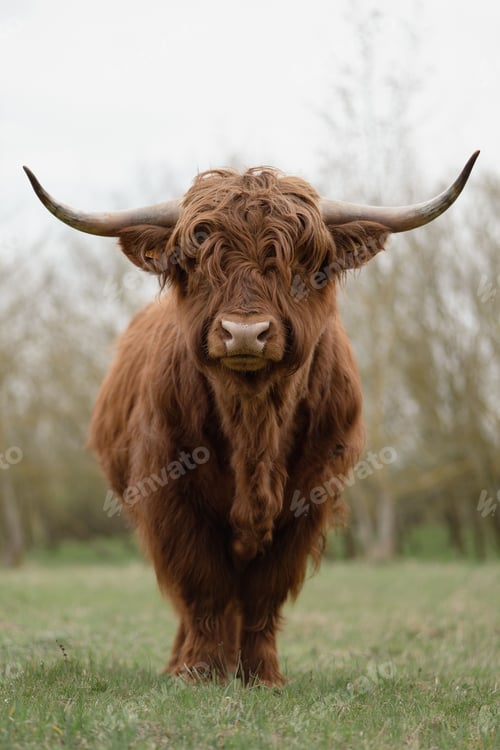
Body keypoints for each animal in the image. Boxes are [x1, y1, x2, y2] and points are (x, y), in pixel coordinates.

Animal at [25, 152, 478, 687]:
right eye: (197, 259)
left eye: (304, 263)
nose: (244, 332)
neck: (254, 424)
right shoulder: (170, 495)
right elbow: (203, 587)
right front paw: (199, 671)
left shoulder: (310, 495)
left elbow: (265, 591)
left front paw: (262, 676)